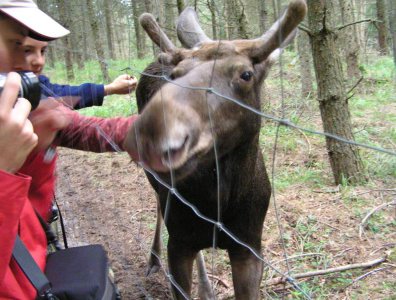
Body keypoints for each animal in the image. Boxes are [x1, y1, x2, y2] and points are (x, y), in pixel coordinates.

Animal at [124, 1, 306, 298]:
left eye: (246, 74)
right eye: (175, 75)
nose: (150, 132)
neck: (219, 203)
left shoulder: (250, 246)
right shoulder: (179, 243)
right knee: (158, 205)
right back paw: (158, 261)